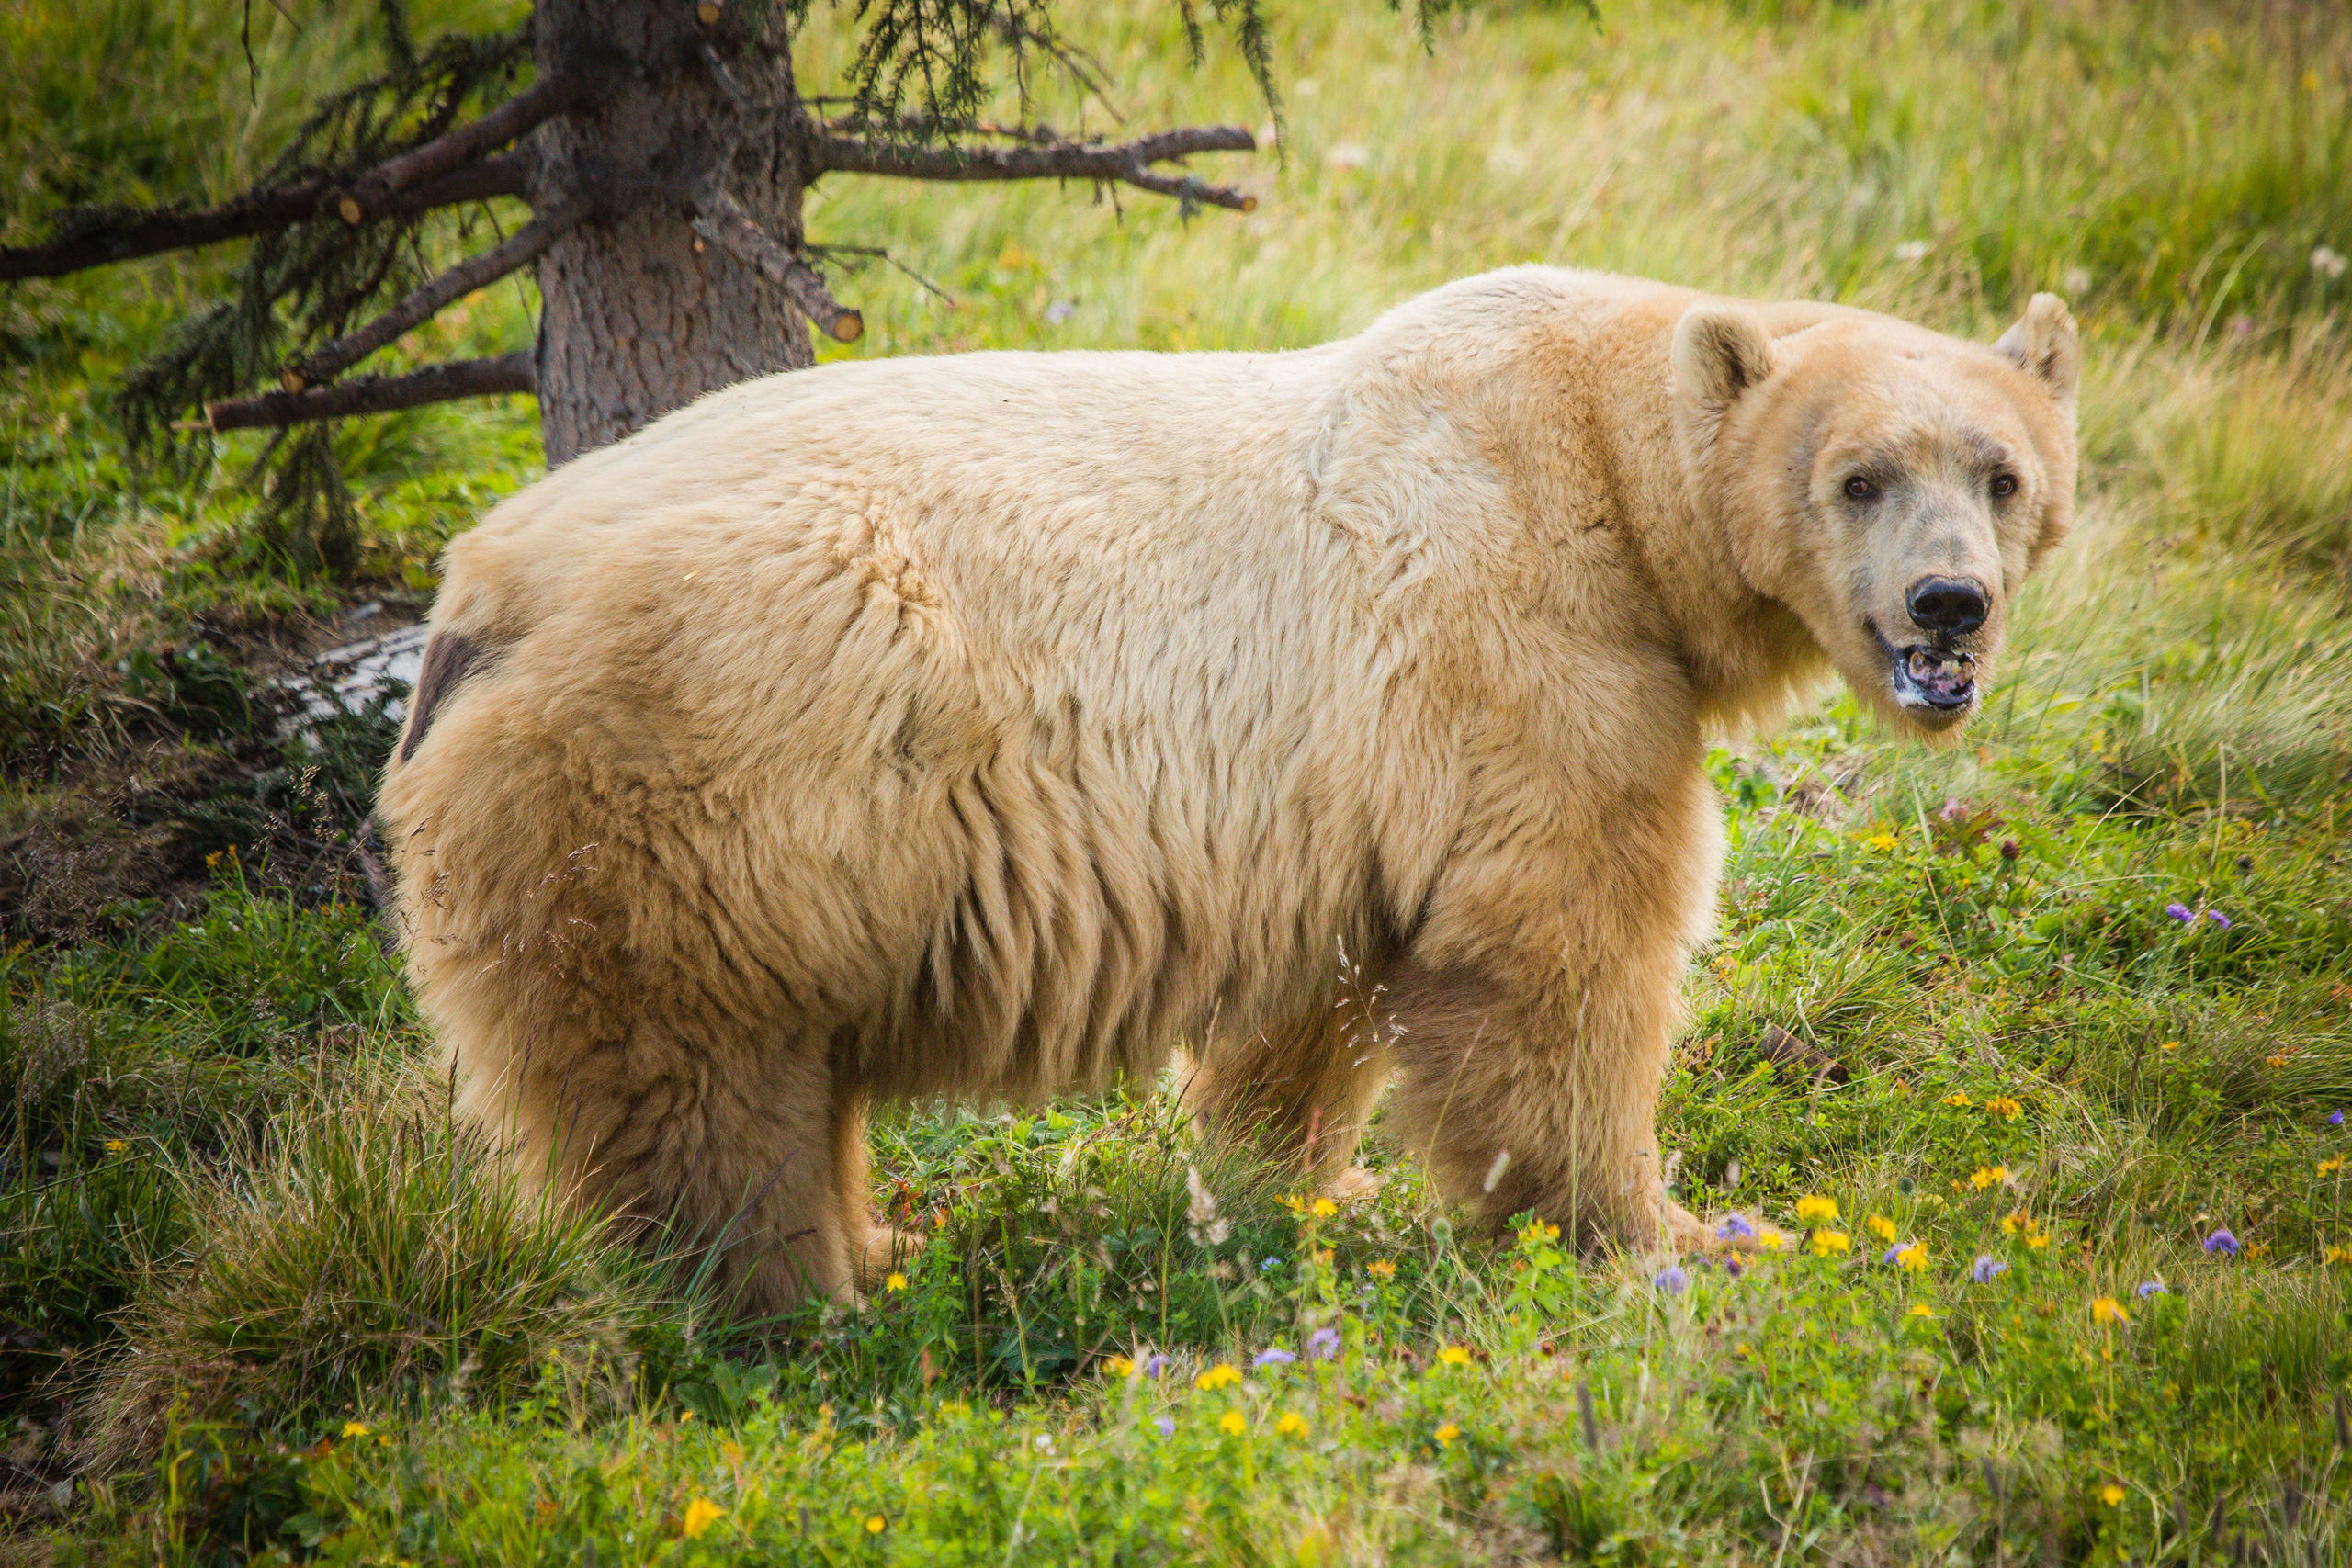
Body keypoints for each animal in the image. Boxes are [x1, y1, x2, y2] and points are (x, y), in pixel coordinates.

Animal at [376, 266, 2088, 1316]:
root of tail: (479, 593)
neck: (1600, 456)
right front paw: (1674, 1236)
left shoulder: (1337, 782)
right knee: (702, 1082)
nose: (1948, 605)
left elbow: (1314, 1008)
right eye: (1858, 476)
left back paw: (885, 1233)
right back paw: (805, 1293)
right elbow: (1554, 951)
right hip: (714, 771)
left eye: (2003, 473)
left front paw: (1284, 1200)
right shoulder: (1521, 643)